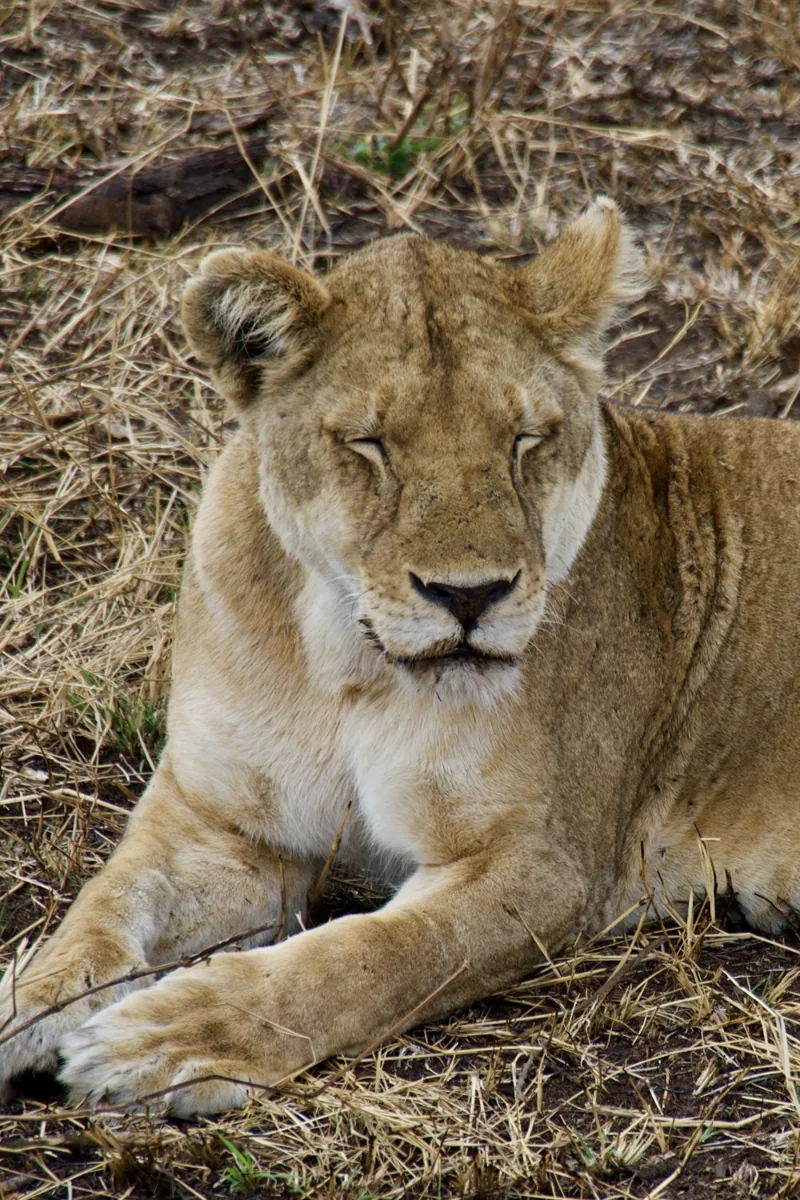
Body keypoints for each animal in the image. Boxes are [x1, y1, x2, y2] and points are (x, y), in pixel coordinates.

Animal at [3, 198, 800, 1116]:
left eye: (526, 439)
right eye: (370, 443)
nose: (470, 596)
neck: (348, 664)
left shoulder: (544, 864)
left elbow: (370, 959)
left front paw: (177, 1036)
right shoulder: (221, 823)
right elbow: (105, 907)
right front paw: (27, 1003)